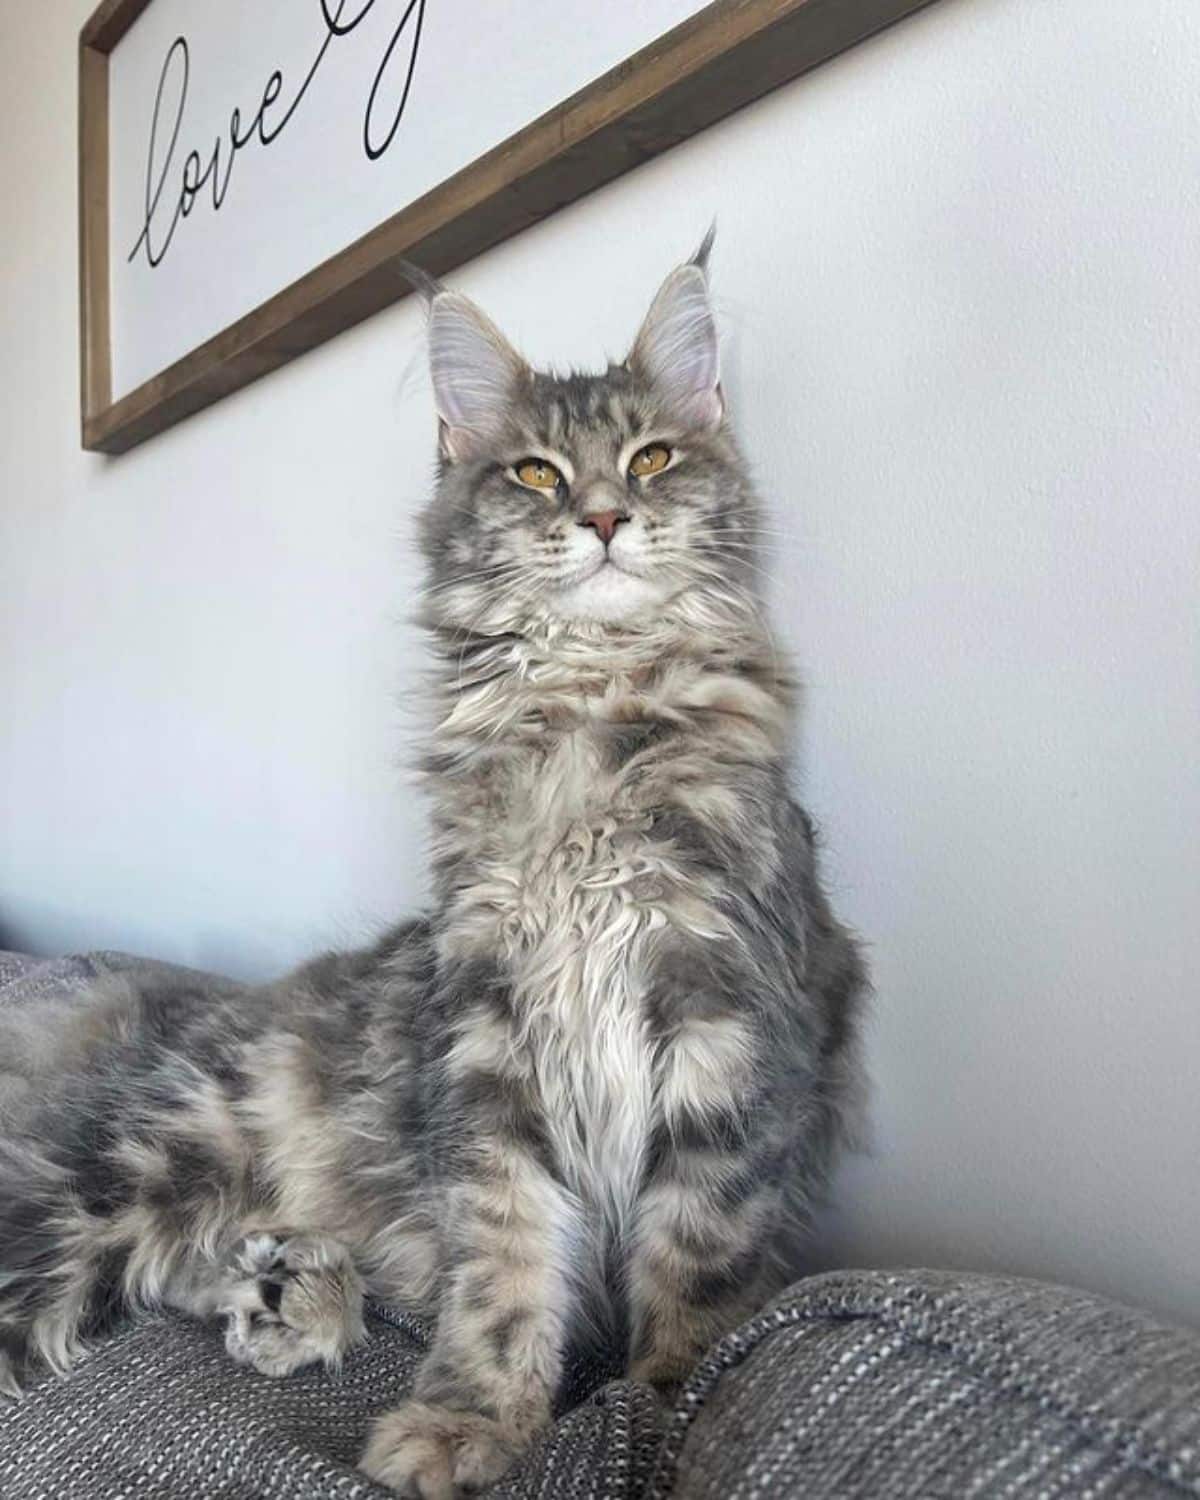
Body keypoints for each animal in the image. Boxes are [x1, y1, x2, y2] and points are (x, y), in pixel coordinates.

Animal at [0, 240, 864, 1494]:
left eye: (652, 457)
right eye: (537, 474)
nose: (606, 516)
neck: (587, 713)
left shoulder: (727, 1021)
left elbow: (695, 1268)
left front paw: (657, 1419)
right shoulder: (488, 1039)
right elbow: (502, 1260)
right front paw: (470, 1419)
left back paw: (287, 1293)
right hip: (150, 1162)